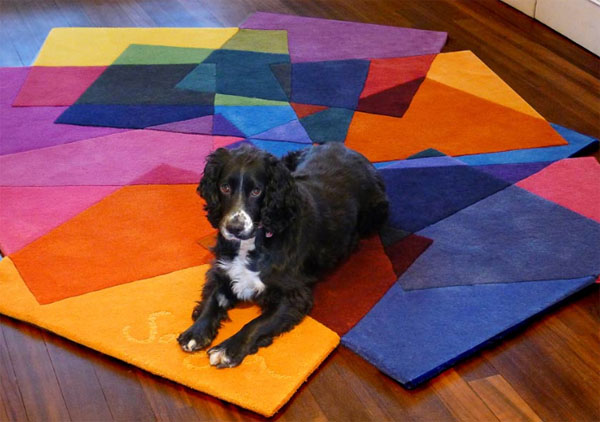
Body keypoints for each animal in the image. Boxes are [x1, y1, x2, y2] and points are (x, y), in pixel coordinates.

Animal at [177, 143, 390, 368]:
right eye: (224, 188)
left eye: (256, 191)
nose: (234, 228)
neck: (255, 241)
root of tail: (348, 148)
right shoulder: (222, 268)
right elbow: (212, 298)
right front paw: (196, 332)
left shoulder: (294, 296)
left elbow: (255, 324)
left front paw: (228, 349)